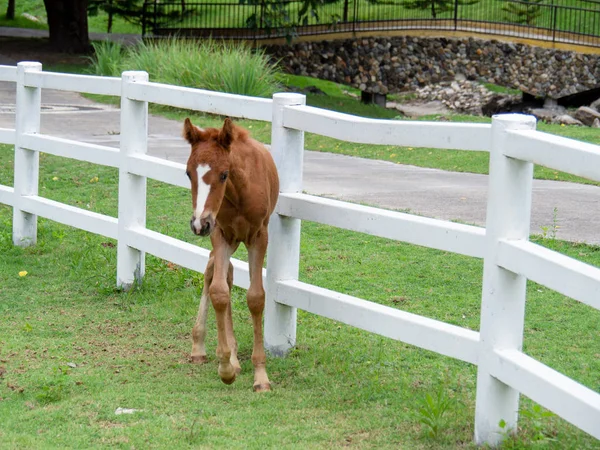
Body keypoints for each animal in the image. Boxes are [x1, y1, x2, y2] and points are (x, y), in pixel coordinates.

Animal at [183, 117, 278, 390]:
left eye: (223, 174)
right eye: (188, 173)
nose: (198, 224)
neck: (239, 193)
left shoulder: (258, 236)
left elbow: (256, 297)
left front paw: (261, 377)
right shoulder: (220, 232)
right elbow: (219, 292)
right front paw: (225, 368)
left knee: (224, 272)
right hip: (226, 238)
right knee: (215, 273)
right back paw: (203, 348)